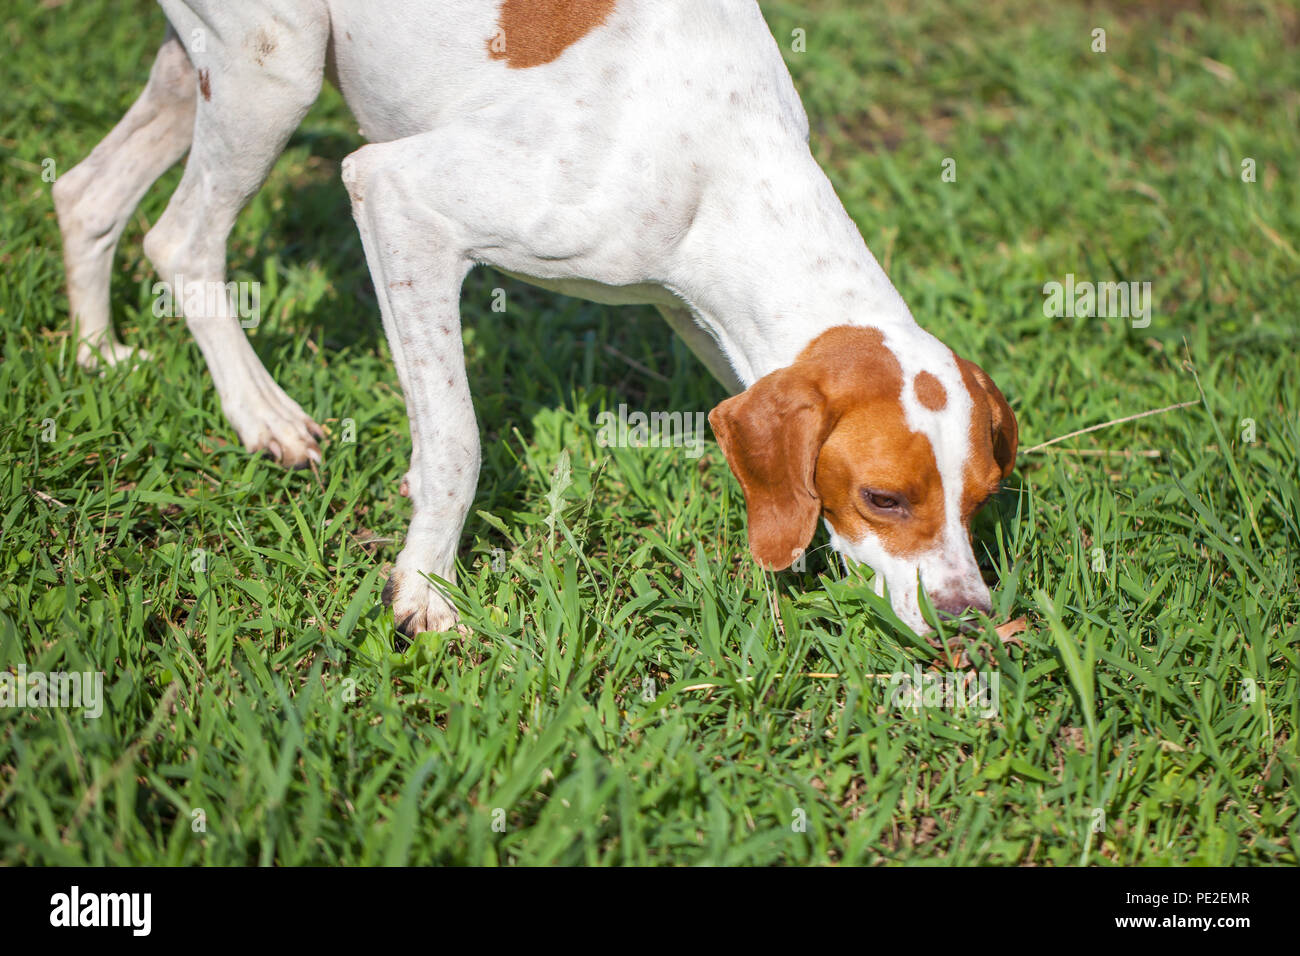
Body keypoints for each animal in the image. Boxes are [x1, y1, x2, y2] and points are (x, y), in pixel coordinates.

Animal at [58, 3, 1013, 639]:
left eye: (981, 499)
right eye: (884, 498)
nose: (973, 619)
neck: (728, 163)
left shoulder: (699, 315)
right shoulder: (398, 199)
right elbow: (458, 442)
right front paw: (426, 587)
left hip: (204, 69)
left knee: (84, 194)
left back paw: (97, 355)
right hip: (274, 71)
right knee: (179, 241)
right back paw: (262, 416)